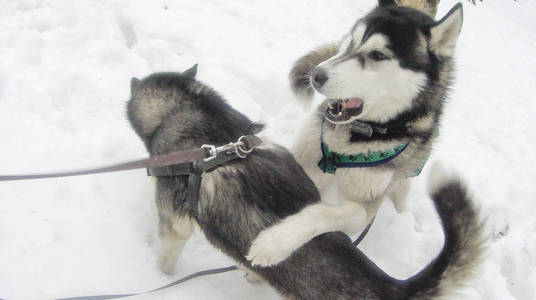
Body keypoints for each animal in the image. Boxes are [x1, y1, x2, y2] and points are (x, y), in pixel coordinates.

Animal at [249, 0, 462, 268]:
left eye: (378, 55)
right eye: (352, 41)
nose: (316, 75)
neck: (354, 138)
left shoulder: (365, 204)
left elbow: (325, 212)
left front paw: (276, 242)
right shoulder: (306, 155)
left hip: (405, 177)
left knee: (401, 194)